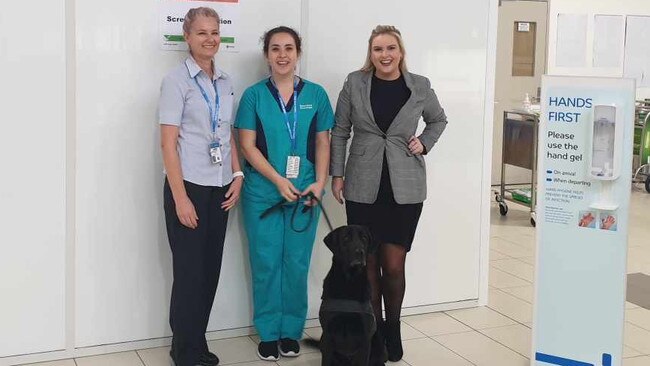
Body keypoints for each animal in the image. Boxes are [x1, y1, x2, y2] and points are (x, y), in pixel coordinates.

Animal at [312, 226, 382, 366]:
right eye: (346, 238)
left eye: (364, 238)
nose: (359, 252)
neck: (349, 282)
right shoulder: (328, 335)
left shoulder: (365, 338)